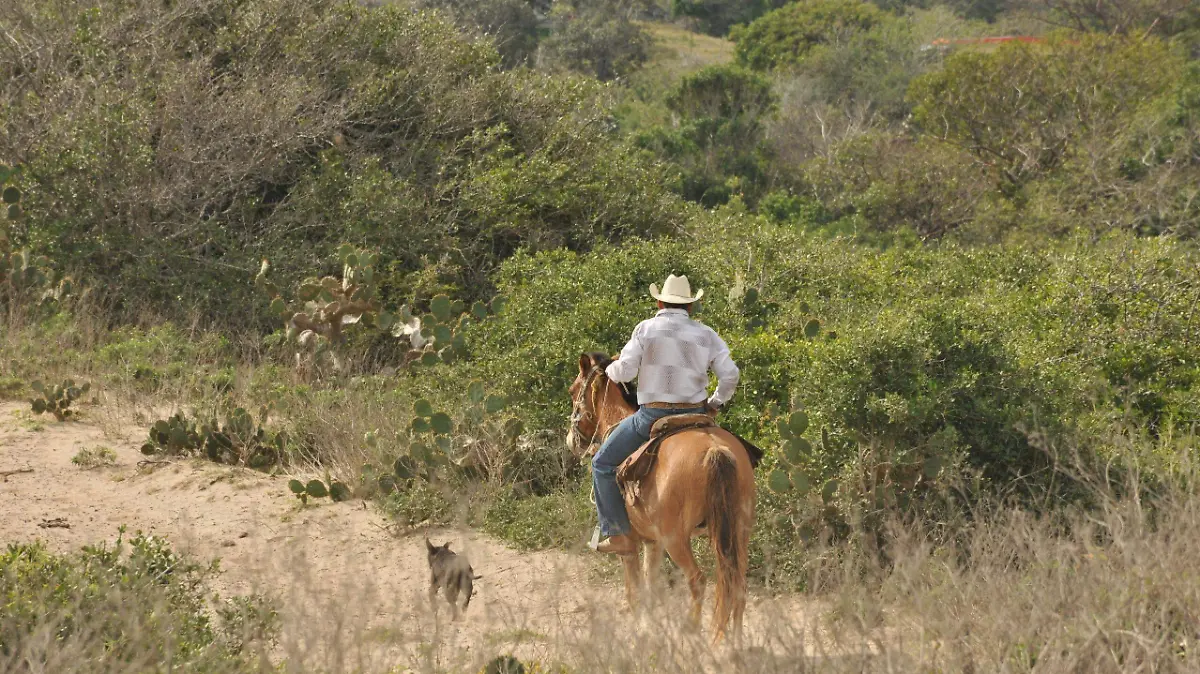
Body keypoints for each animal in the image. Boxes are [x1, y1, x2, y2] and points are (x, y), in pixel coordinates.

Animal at [566, 352, 757, 642]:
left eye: (573, 390)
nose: (571, 441)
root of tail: (715, 450)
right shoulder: (652, 542)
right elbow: (651, 586)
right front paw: (649, 626)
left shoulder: (631, 546)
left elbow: (634, 590)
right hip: (739, 531)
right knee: (737, 585)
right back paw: (734, 642)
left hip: (676, 539)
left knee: (698, 581)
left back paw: (692, 634)